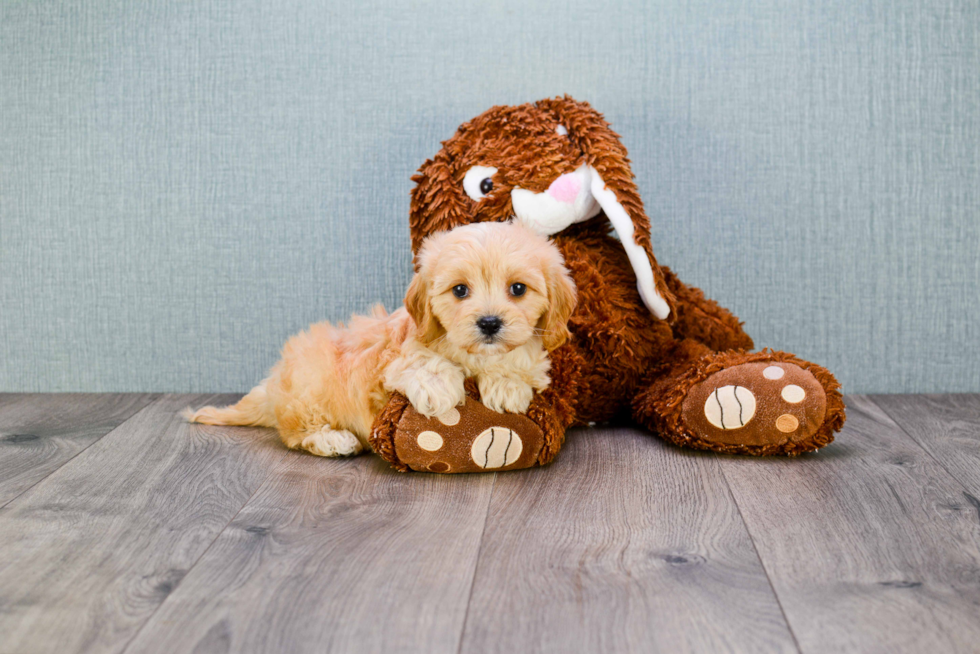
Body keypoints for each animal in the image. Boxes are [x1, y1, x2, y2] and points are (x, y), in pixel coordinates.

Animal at [184, 223, 576, 458]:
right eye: (460, 290)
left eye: (518, 289)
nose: (490, 323)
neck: (476, 357)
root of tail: (271, 389)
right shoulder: (390, 362)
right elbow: (420, 360)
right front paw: (439, 386)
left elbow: (519, 365)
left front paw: (507, 384)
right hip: (310, 382)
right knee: (296, 431)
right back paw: (332, 438)